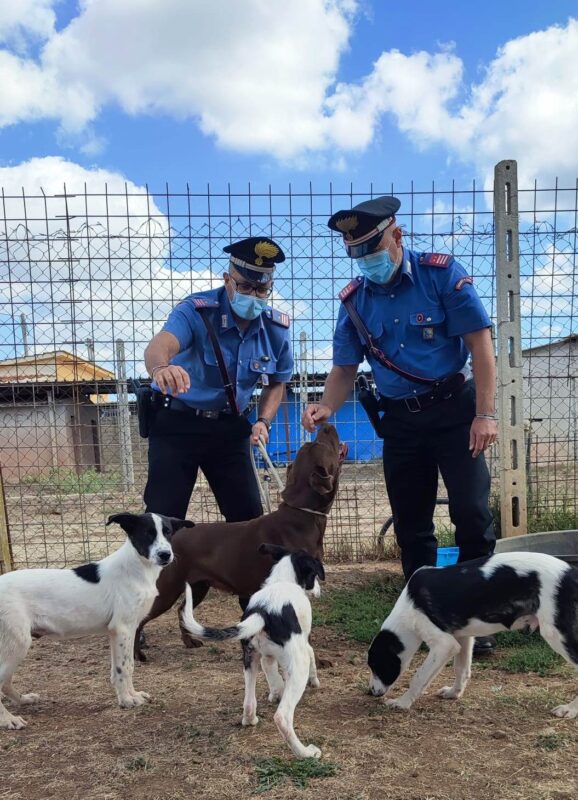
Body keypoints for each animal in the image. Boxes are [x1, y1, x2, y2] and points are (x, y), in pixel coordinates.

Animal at [0, 512, 194, 732]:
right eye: (147, 533)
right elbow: (124, 667)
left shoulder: (119, 631)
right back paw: (8, 719)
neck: (136, 567)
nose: (165, 555)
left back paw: (23, 699)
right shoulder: (123, 628)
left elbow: (123, 667)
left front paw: (130, 695)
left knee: (5, 681)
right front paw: (127, 700)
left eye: (168, 532)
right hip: (18, 642)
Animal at [134, 422, 346, 660]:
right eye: (321, 444)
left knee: (181, 610)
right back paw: (137, 655)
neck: (302, 514)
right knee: (140, 619)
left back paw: (189, 641)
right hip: (167, 590)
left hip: (198, 586)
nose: (326, 424)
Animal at [180, 548, 324, 760]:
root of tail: (263, 612)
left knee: (249, 702)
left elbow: (274, 676)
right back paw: (305, 752)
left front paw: (276, 692)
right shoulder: (304, 643)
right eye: (314, 575)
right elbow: (312, 654)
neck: (282, 580)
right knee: (282, 717)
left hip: (249, 659)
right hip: (298, 664)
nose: (318, 591)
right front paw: (314, 681)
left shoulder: (267, 657)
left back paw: (251, 719)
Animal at [366, 552, 576, 720]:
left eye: (376, 665)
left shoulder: (444, 644)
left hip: (557, 634)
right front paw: (454, 693)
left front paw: (402, 703)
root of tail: (572, 575)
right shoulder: (462, 638)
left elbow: (419, 677)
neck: (408, 607)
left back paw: (570, 710)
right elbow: (461, 669)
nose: (371, 693)